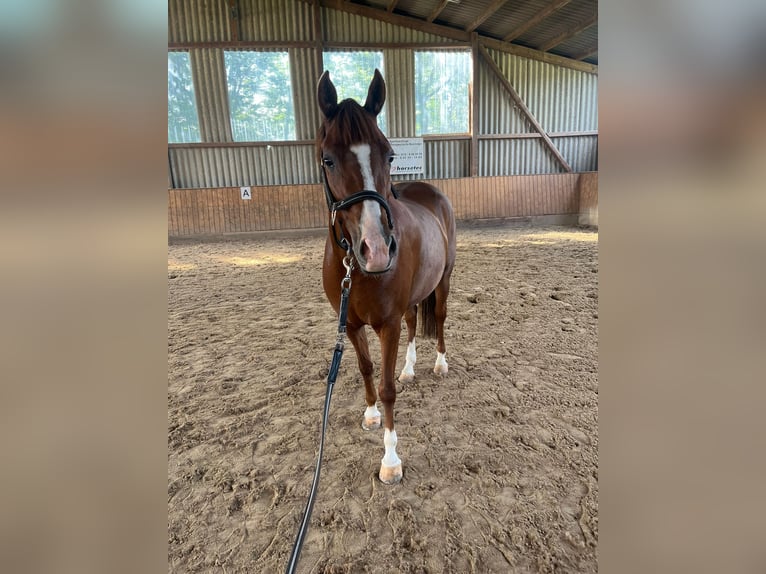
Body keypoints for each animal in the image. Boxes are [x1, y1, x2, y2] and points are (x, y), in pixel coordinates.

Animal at [316, 71, 456, 486]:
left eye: (390, 154)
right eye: (328, 159)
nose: (376, 251)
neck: (356, 271)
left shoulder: (386, 324)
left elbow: (388, 387)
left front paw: (391, 460)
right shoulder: (350, 324)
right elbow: (366, 370)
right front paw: (370, 414)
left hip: (443, 280)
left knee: (438, 317)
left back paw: (439, 364)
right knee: (413, 323)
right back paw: (410, 369)